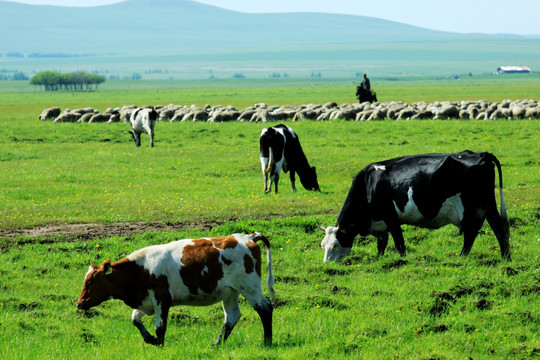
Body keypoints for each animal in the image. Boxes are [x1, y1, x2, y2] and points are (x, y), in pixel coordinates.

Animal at [76, 233, 274, 346]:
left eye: (91, 281)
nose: (79, 303)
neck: (141, 270)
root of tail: (247, 237)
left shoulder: (162, 299)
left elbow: (160, 326)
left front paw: (159, 343)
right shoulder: (145, 302)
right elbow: (135, 319)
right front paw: (149, 339)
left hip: (249, 286)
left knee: (265, 308)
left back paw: (267, 341)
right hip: (230, 291)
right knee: (232, 316)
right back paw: (217, 344)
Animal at [320, 151, 510, 262]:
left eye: (336, 244)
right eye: (323, 245)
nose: (327, 264)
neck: (369, 184)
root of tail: (480, 154)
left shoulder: (391, 217)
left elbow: (399, 242)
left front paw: (402, 261)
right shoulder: (382, 224)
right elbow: (382, 244)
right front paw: (380, 259)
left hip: (472, 208)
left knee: (471, 234)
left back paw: (462, 257)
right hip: (489, 205)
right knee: (499, 230)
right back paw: (505, 258)